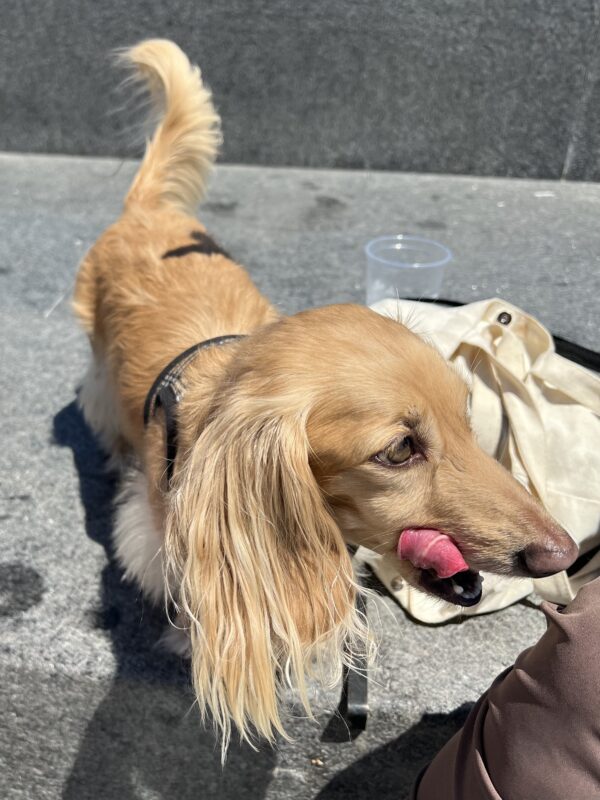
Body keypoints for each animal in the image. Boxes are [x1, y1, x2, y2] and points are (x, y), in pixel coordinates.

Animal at [72, 37, 580, 752]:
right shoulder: (163, 531)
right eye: (399, 450)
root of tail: (149, 211)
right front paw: (190, 639)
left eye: (467, 417)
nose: (562, 554)